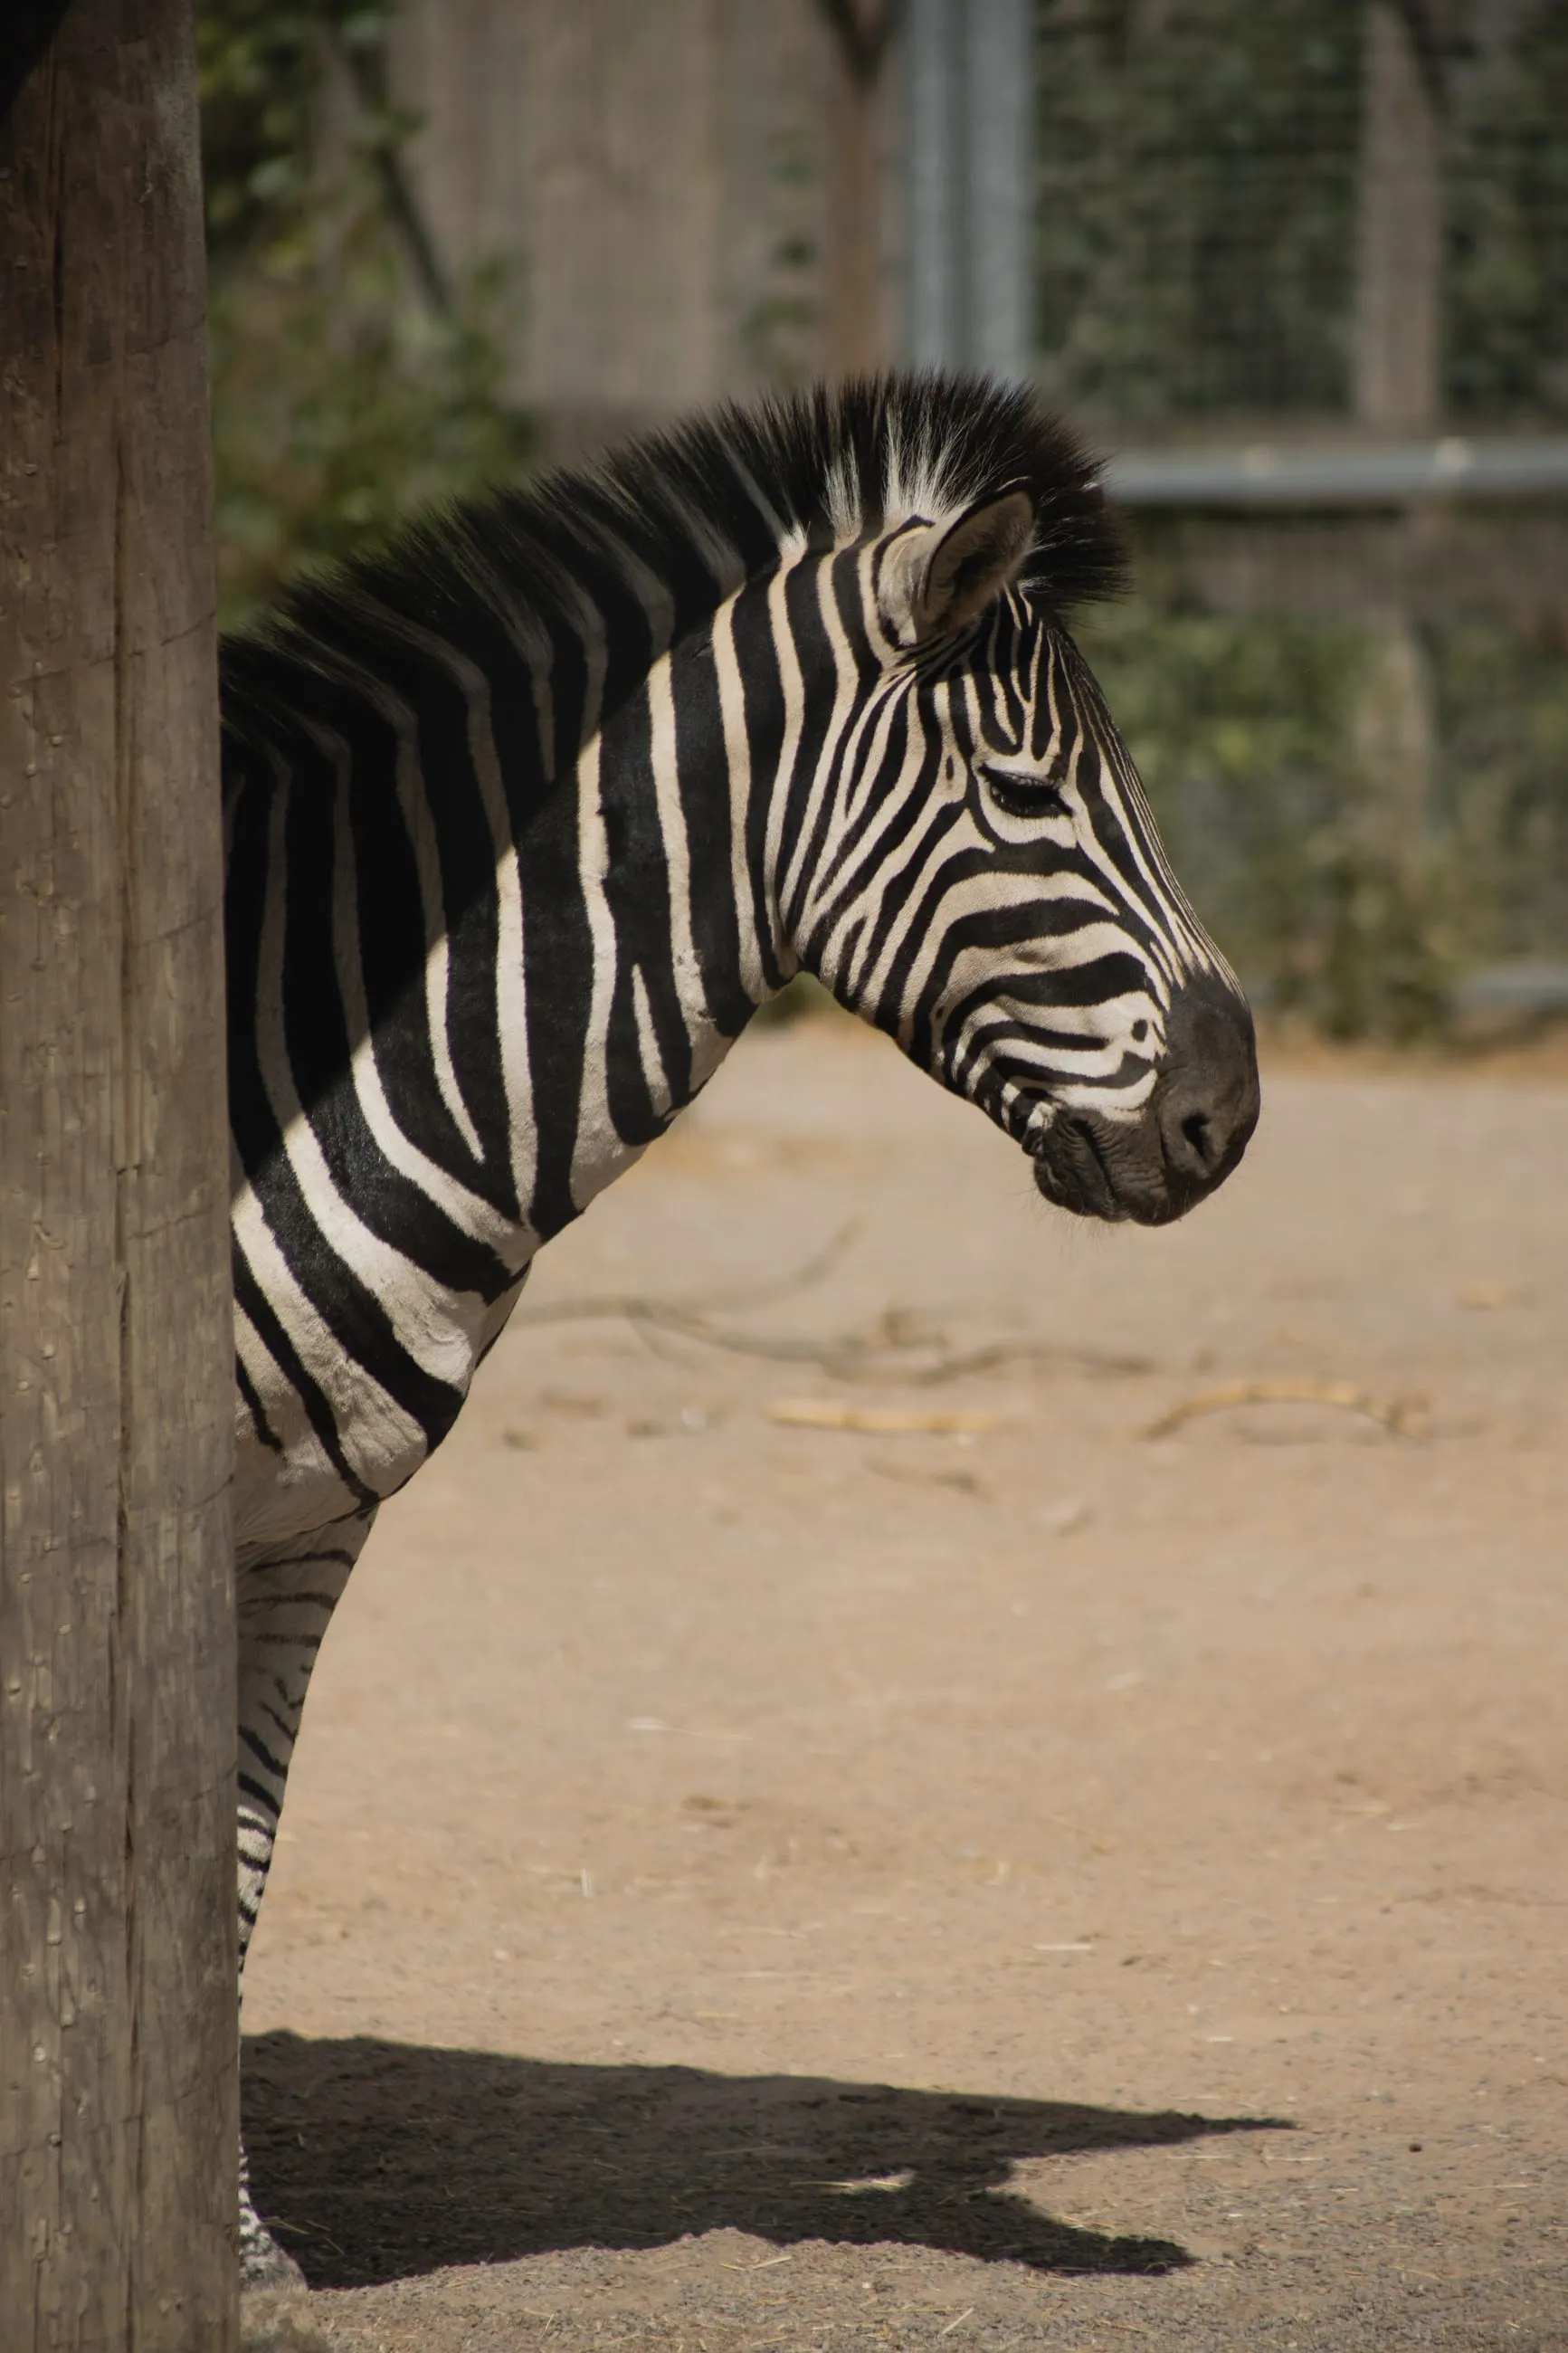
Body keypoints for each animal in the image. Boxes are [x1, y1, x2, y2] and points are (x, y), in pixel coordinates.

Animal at [221, 372, 1258, 2283]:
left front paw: (238, 2254)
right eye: (1026, 791)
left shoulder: (310, 1523)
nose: (1228, 1118)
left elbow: (229, 1869)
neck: (312, 1042)